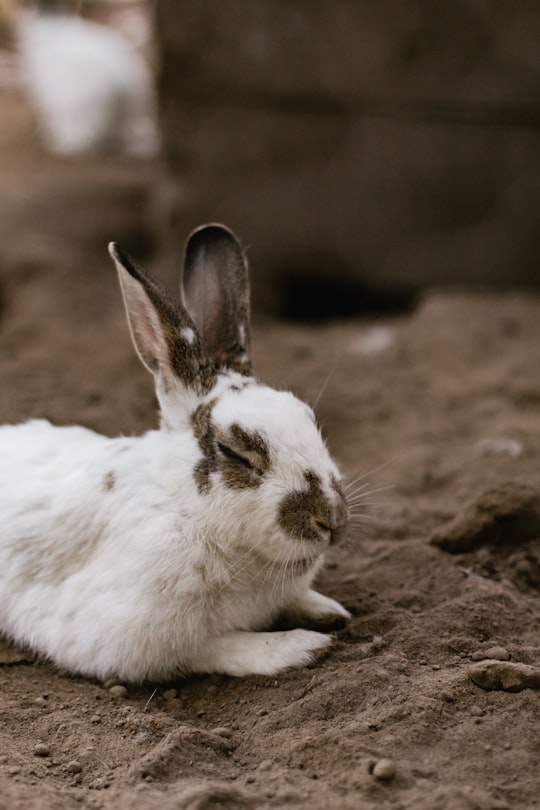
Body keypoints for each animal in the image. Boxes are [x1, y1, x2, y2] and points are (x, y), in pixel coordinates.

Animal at [0, 223, 350, 680]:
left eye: (309, 418)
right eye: (234, 452)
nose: (332, 521)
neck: (183, 508)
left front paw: (329, 611)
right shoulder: (128, 638)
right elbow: (214, 646)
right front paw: (300, 646)